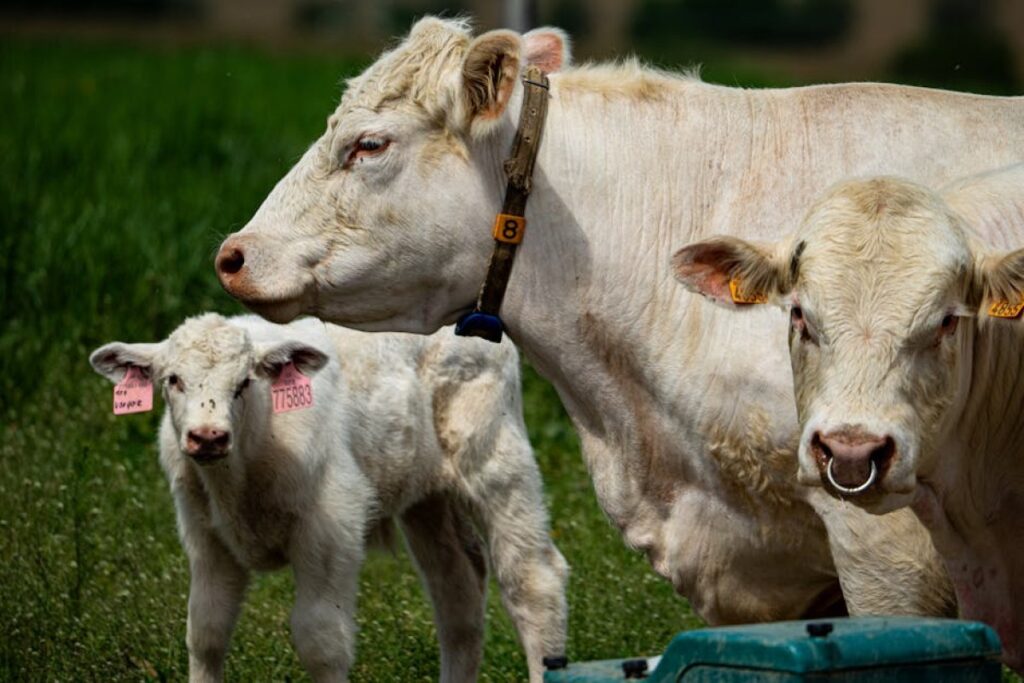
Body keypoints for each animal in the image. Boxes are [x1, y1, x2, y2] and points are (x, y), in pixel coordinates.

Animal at [89, 314, 568, 682]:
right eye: (173, 380)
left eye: (244, 383)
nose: (208, 436)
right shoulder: (205, 536)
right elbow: (206, 631)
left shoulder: (331, 524)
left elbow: (320, 640)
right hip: (426, 496)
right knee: (458, 590)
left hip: (496, 458)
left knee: (533, 580)